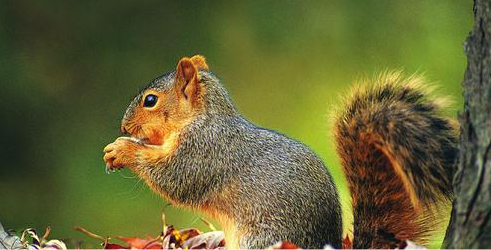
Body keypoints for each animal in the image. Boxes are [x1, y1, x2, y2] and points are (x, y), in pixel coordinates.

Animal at [102, 56, 460, 250]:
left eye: (150, 100)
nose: (123, 125)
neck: (203, 117)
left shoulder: (205, 150)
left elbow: (174, 178)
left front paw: (122, 150)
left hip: (263, 238)